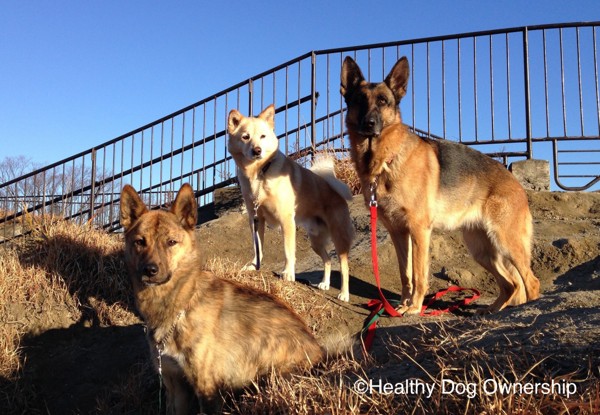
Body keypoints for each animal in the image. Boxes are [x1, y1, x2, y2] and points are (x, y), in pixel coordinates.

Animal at [120, 186, 324, 415]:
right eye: (140, 242)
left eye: (171, 242)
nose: (150, 270)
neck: (181, 305)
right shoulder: (175, 387)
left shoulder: (206, 388)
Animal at [227, 105, 354, 302]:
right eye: (245, 137)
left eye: (263, 136)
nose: (257, 150)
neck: (259, 173)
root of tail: (335, 188)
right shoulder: (256, 219)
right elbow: (258, 248)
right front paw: (254, 266)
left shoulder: (286, 221)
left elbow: (288, 251)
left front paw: (288, 274)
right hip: (316, 240)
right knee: (327, 260)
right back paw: (324, 284)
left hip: (339, 236)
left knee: (344, 265)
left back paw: (344, 293)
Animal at [340, 56, 540, 316]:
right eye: (359, 101)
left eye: (383, 101)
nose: (369, 124)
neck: (386, 160)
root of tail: (515, 182)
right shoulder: (398, 233)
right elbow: (406, 274)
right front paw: (403, 304)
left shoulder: (419, 230)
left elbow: (419, 274)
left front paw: (414, 307)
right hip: (482, 250)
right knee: (512, 283)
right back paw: (493, 310)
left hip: (506, 242)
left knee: (530, 282)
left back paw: (528, 308)